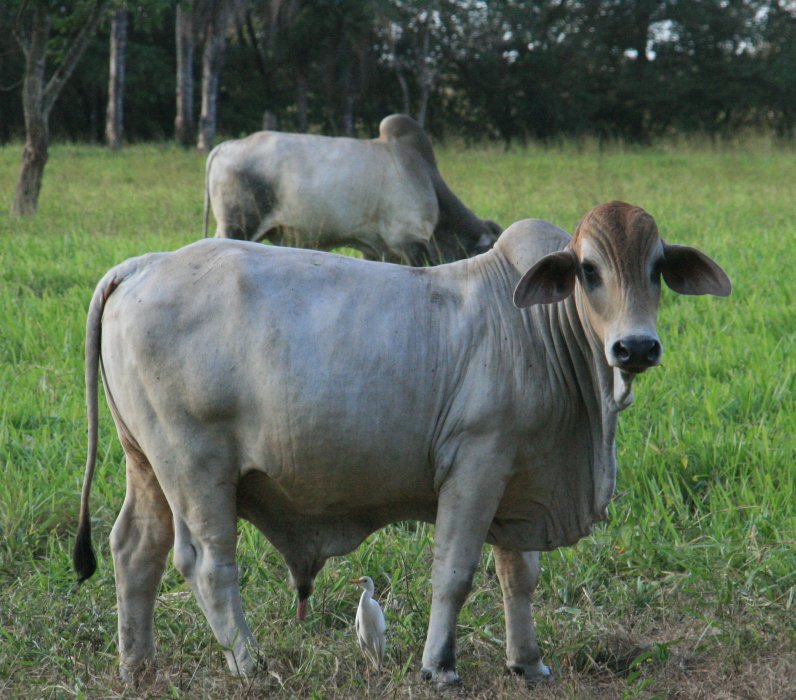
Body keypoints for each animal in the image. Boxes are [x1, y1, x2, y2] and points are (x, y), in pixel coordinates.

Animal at [76, 200, 732, 688]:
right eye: (589, 270)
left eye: (657, 268)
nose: (635, 346)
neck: (537, 328)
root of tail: (141, 265)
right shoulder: (476, 463)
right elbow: (455, 572)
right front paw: (439, 665)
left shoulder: (522, 476)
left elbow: (519, 575)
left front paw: (528, 661)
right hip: (194, 465)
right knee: (208, 563)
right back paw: (250, 663)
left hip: (146, 462)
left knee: (135, 549)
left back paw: (138, 667)